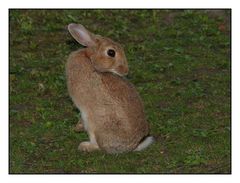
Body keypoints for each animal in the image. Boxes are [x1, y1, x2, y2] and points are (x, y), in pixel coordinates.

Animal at [66, 23, 155, 154]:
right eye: (111, 53)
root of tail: (134, 145)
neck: (90, 59)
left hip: (95, 124)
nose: (125, 70)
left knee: (98, 145)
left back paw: (84, 146)